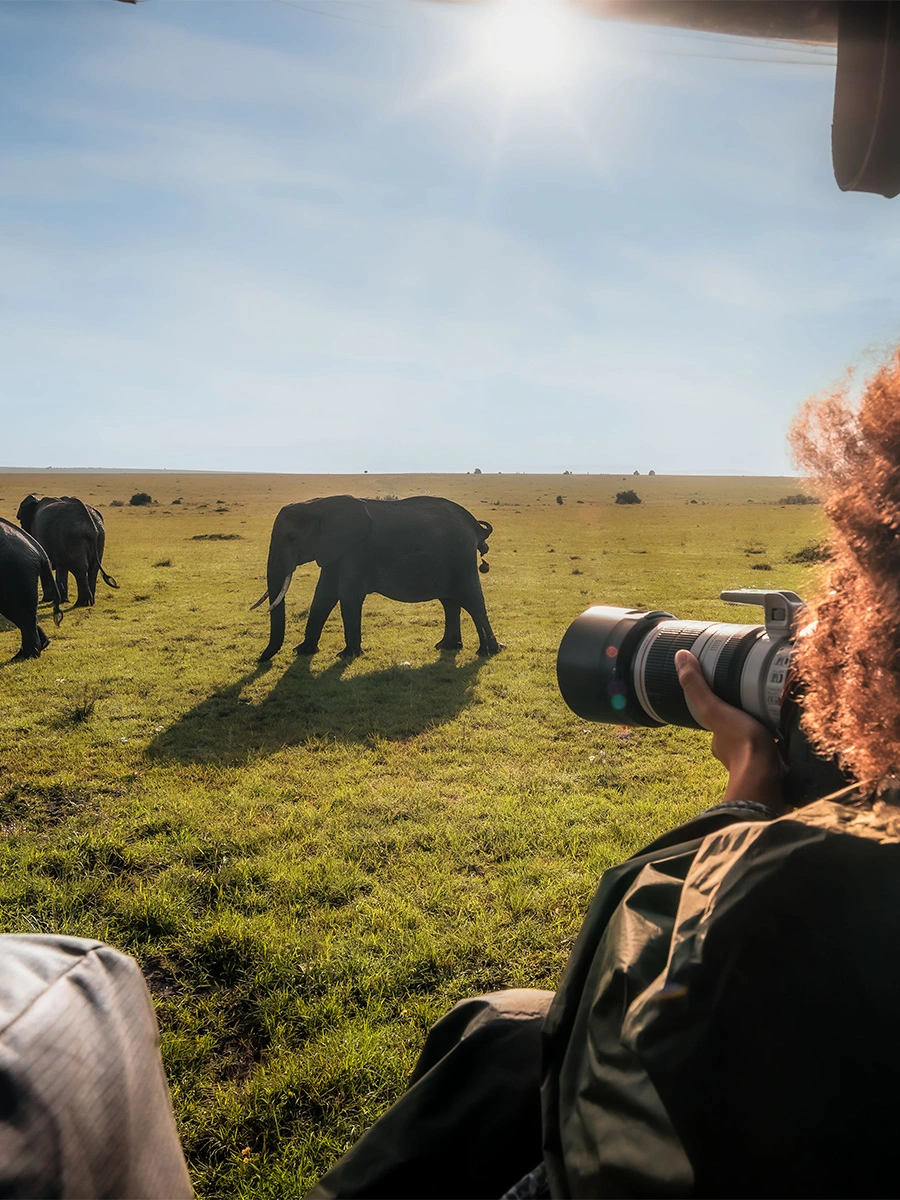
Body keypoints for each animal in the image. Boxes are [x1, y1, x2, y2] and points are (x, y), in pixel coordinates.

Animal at [254, 496, 504, 667]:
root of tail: (475, 527)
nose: (260, 660)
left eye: (292, 538)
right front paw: (303, 651)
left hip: (461, 558)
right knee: (450, 602)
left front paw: (347, 655)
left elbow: (348, 597)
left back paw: (489, 652)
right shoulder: (335, 550)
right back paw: (448, 646)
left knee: (473, 602)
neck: (320, 506)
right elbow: (323, 597)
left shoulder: (356, 551)